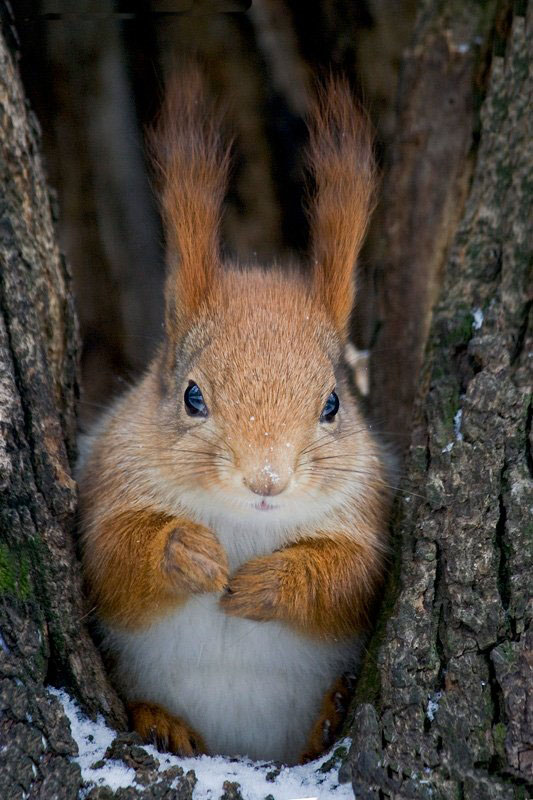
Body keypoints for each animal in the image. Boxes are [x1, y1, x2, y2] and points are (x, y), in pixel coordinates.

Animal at [79, 72, 392, 764]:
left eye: (333, 404)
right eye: (192, 396)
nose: (266, 481)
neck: (245, 524)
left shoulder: (368, 517)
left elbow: (348, 580)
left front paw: (270, 583)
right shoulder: (107, 482)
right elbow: (114, 559)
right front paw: (189, 553)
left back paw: (329, 717)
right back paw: (159, 722)